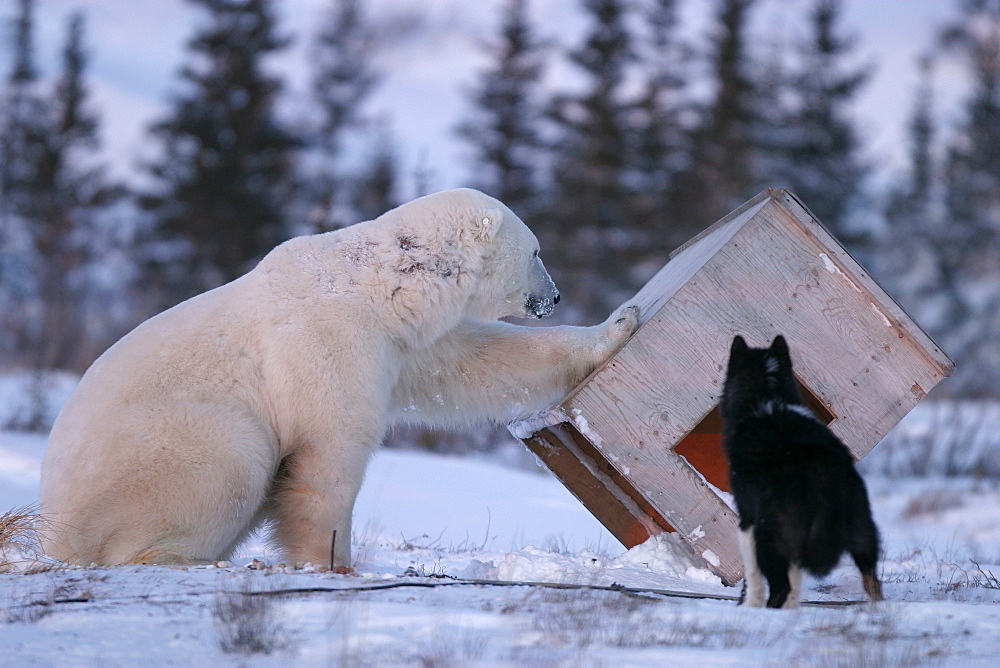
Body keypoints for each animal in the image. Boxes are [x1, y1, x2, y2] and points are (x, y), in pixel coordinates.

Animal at [37, 188, 640, 568]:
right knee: (229, 460)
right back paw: (184, 559)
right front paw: (332, 562)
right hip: (155, 454)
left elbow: (477, 360)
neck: (376, 285)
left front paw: (620, 324)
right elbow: (327, 454)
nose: (554, 296)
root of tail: (54, 533)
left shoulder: (400, 345)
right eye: (536, 251)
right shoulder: (327, 342)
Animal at [720, 336, 884, 608]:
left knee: (779, 588)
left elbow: (753, 577)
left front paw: (749, 606)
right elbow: (795, 582)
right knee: (873, 583)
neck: (766, 396)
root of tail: (821, 472)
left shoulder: (747, 520)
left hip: (770, 538)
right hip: (862, 533)